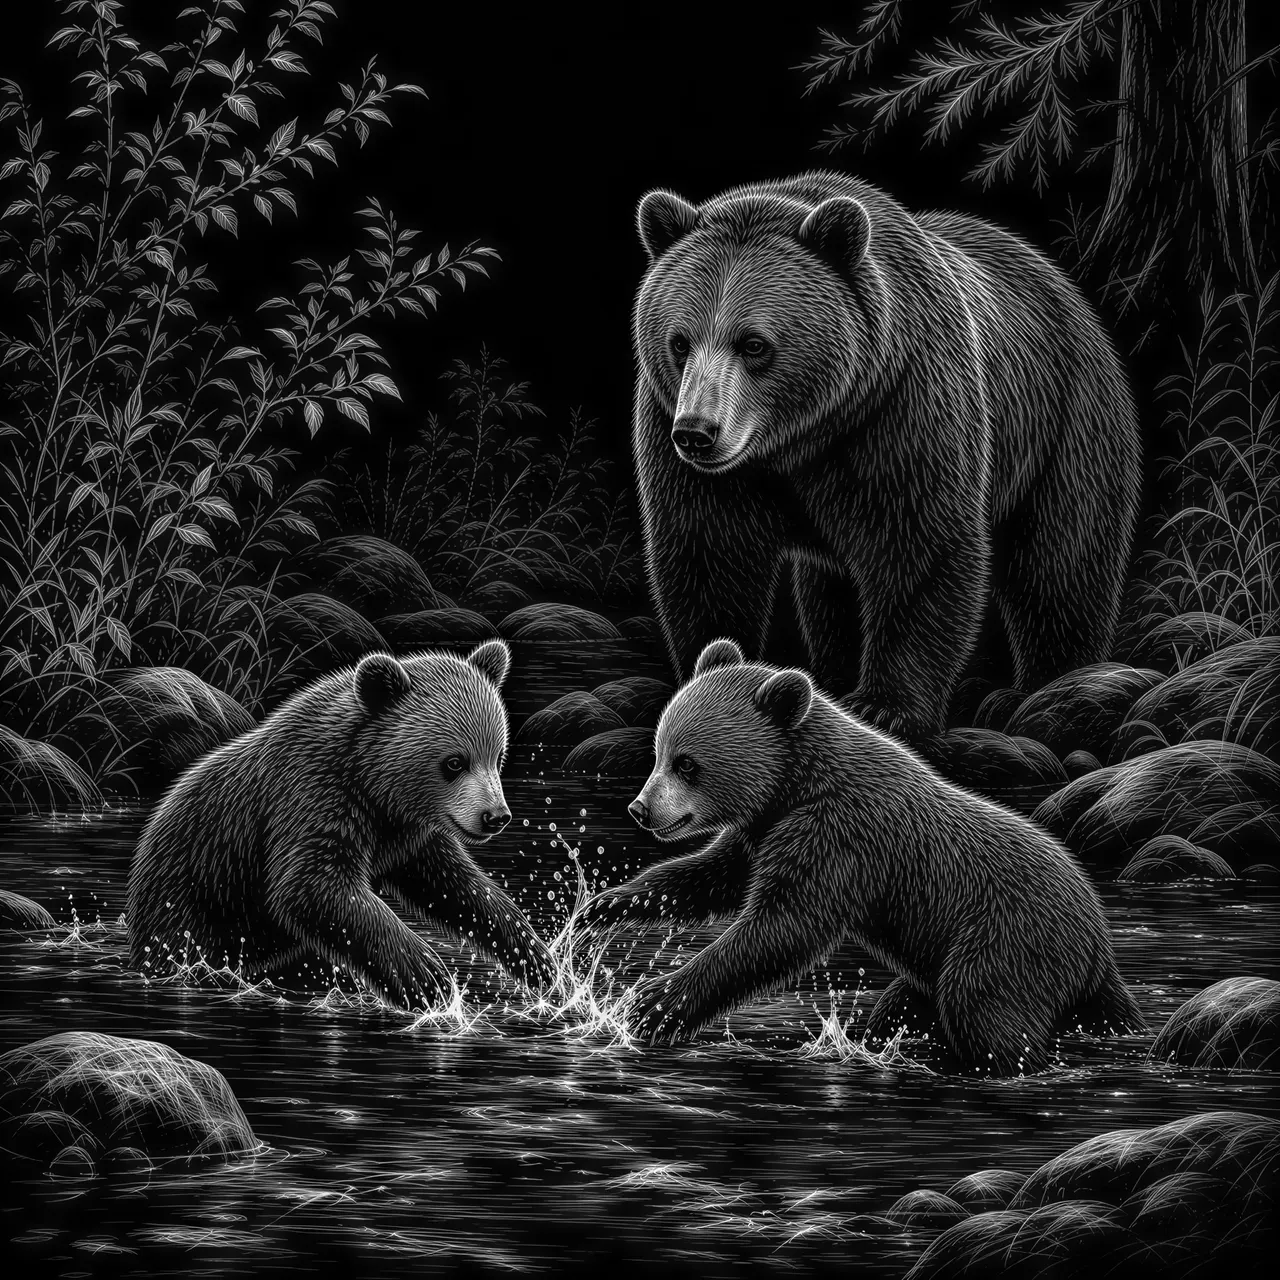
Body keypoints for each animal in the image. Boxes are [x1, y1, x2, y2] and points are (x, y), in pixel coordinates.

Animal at [128, 640, 554, 1007]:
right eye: (454, 762)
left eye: (497, 756)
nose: (496, 817)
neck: (372, 785)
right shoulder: (310, 798)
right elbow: (314, 885)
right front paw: (426, 976)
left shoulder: (411, 833)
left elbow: (454, 883)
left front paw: (536, 957)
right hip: (193, 900)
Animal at [580, 639, 1144, 1075]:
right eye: (659, 751)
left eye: (688, 764)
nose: (640, 809)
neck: (795, 784)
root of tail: (1098, 935)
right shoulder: (761, 830)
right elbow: (709, 877)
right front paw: (603, 907)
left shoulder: (840, 836)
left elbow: (783, 926)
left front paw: (654, 1002)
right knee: (904, 1007)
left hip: (1007, 938)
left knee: (983, 1008)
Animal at [631, 171, 1140, 741]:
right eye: (680, 341)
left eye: (754, 343)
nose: (698, 433)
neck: (802, 438)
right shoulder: (684, 438)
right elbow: (710, 554)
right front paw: (712, 673)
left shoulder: (903, 406)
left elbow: (919, 544)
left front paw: (887, 706)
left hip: (1065, 421)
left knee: (1062, 562)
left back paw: (1056, 683)